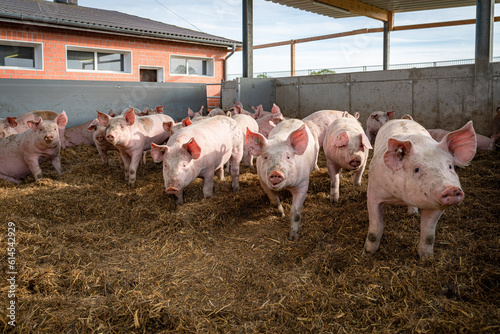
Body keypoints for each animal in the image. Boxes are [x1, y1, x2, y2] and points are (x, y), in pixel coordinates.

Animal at [364, 118, 476, 260]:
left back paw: (412, 214)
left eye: (450, 166)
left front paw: (427, 259)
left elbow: (429, 236)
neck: (399, 198)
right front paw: (367, 253)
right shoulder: (373, 195)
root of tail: (402, 118)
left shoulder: (435, 207)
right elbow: (375, 229)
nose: (451, 189)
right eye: (417, 169)